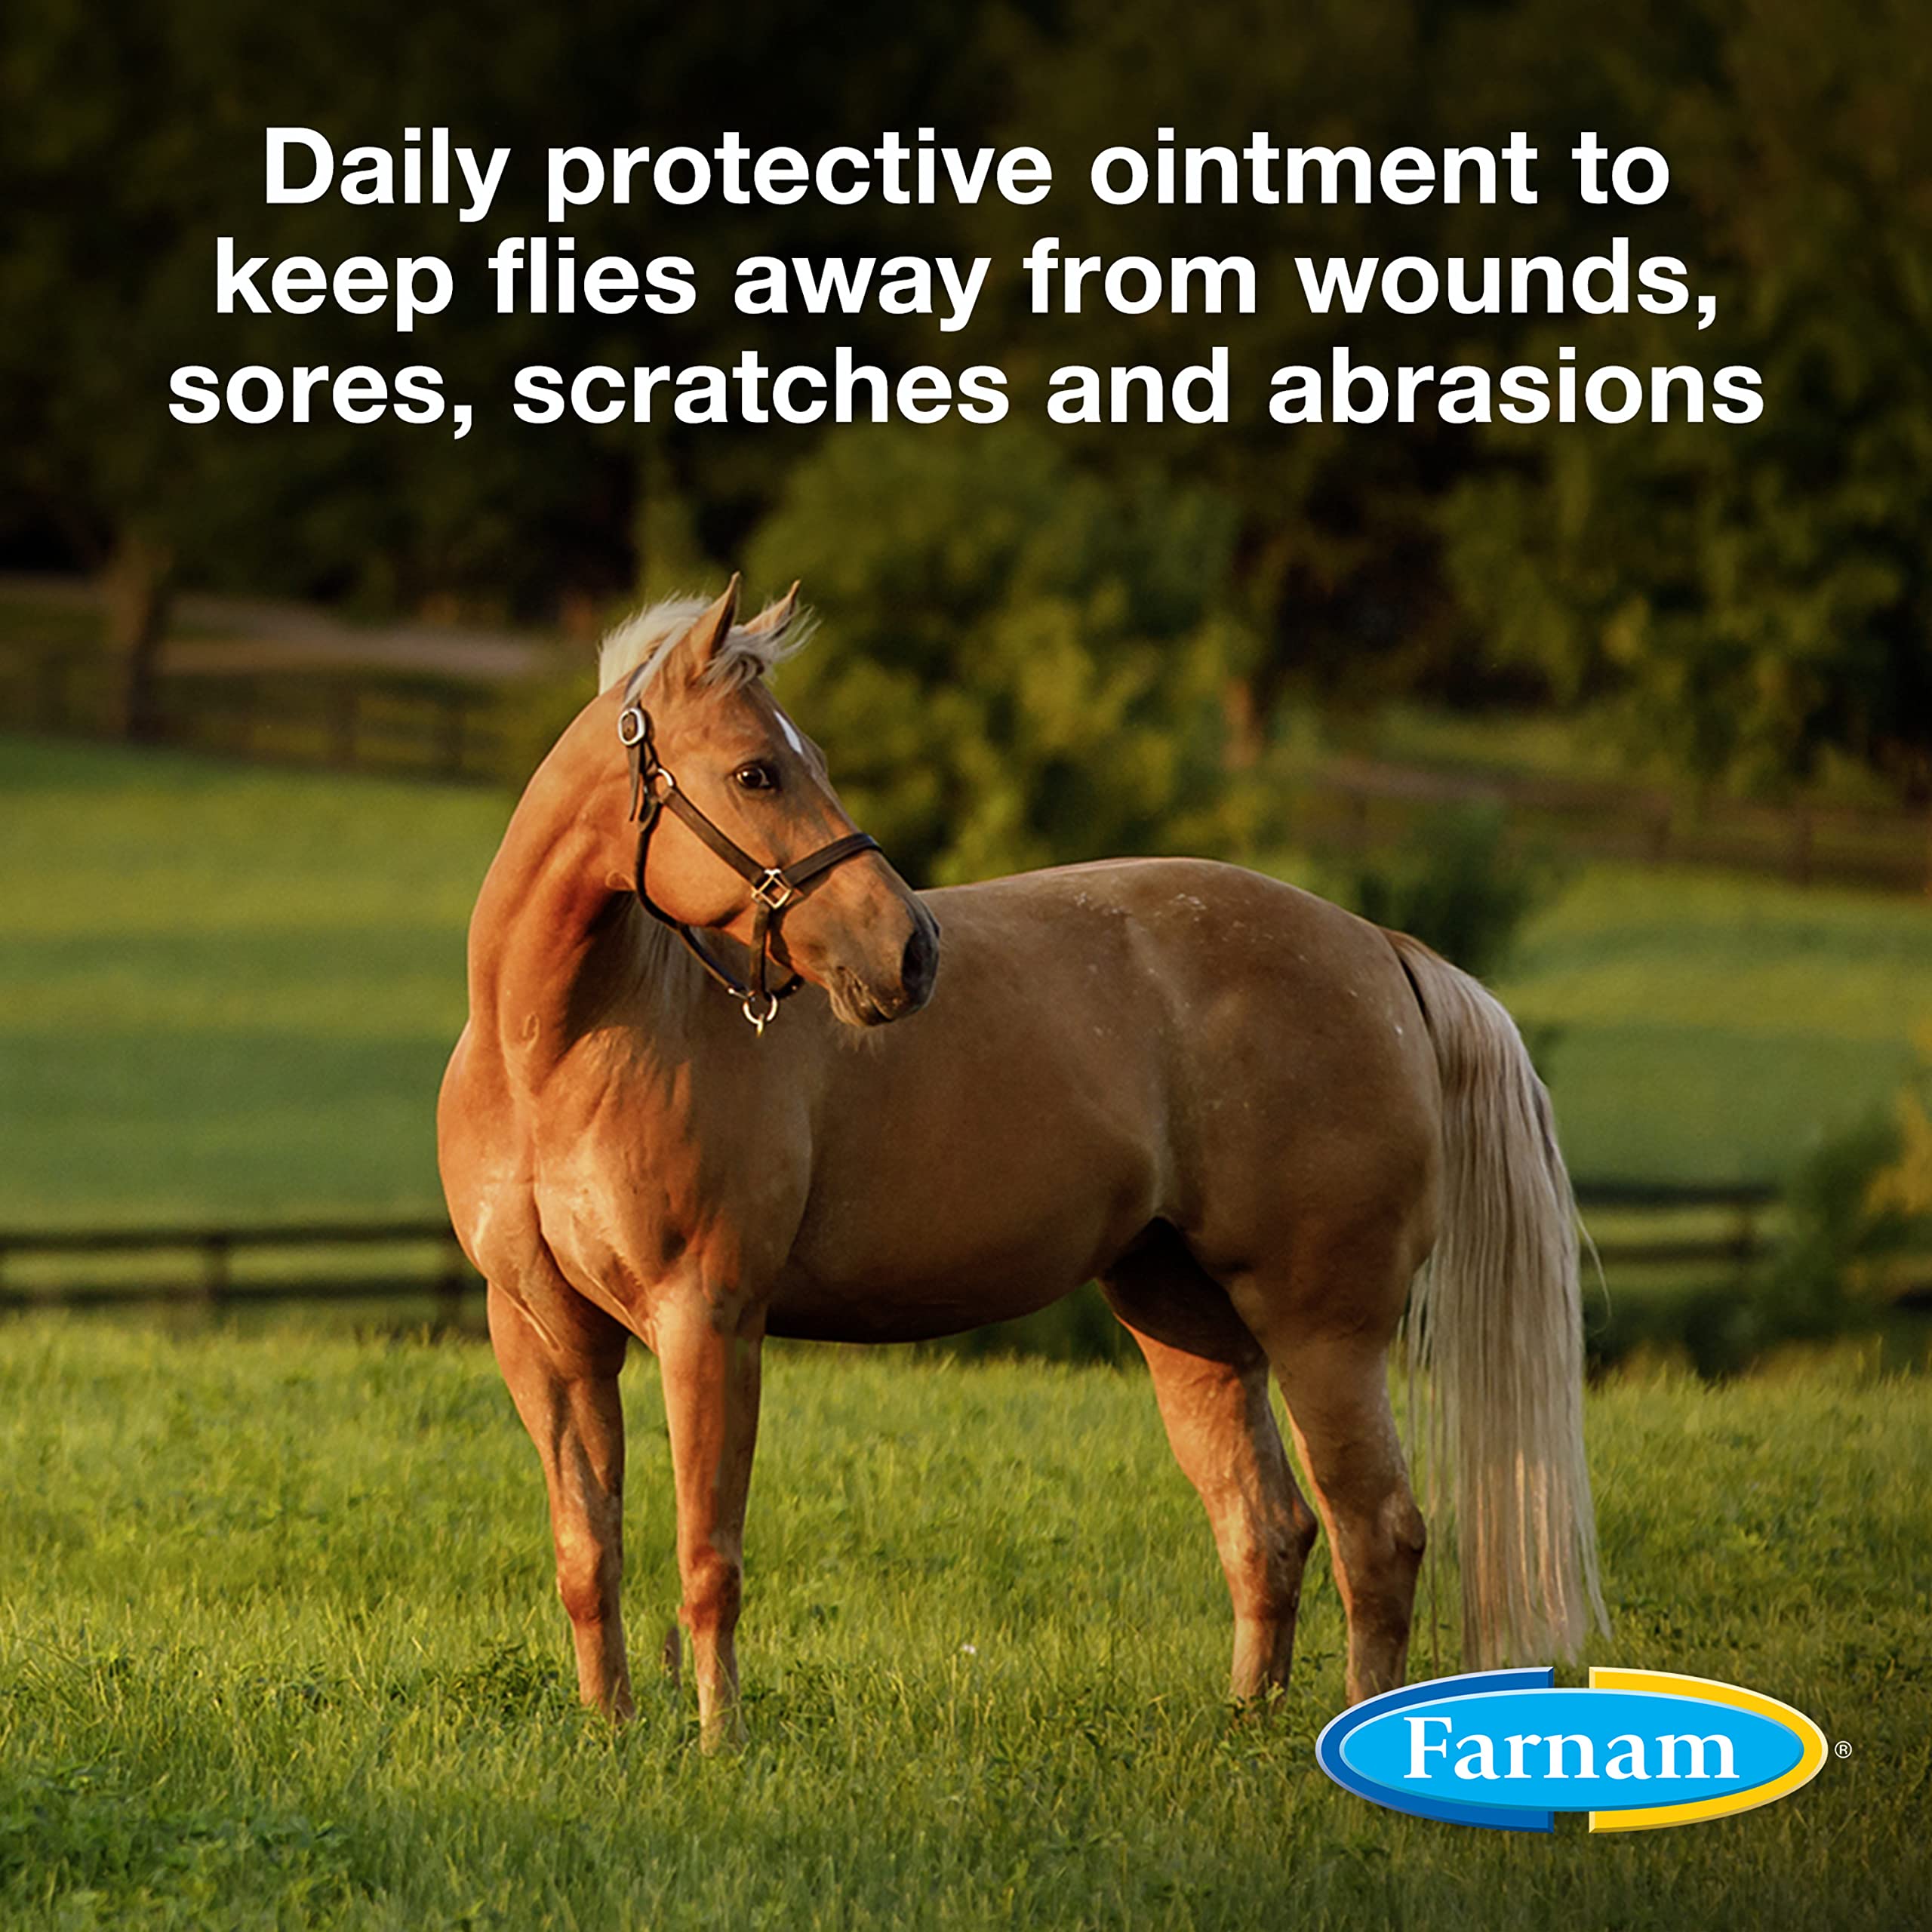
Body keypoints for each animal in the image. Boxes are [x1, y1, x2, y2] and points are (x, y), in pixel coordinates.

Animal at [438, 577, 1606, 1751]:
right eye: (757, 770)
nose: (909, 951)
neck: (561, 1049)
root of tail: (1378, 949)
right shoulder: (544, 1338)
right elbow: (587, 1553)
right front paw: (611, 1732)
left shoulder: (709, 1316)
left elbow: (705, 1557)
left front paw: (720, 1744)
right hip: (1184, 1316)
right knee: (1267, 1525)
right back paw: (1246, 1720)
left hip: (1324, 1326)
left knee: (1379, 1532)